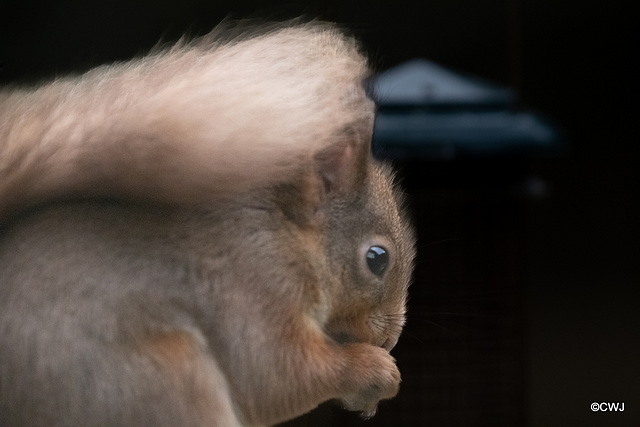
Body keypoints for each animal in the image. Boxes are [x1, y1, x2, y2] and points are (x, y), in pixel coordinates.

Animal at [0, 20, 416, 427]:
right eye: (377, 258)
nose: (390, 341)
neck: (287, 231)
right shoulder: (255, 284)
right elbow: (276, 376)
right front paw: (375, 371)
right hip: (155, 380)